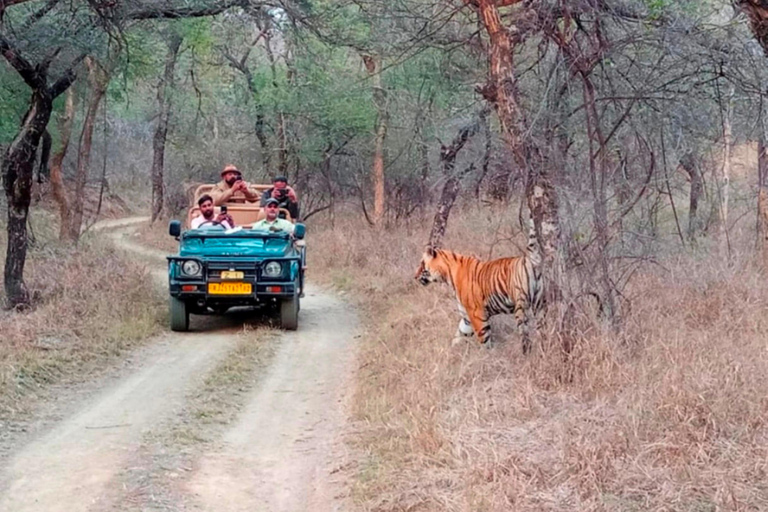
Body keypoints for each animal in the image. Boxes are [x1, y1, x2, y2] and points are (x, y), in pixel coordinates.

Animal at [414, 216, 544, 352]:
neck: (448, 274)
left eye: (422, 263)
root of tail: (528, 258)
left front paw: (487, 354)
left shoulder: (476, 313)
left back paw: (526, 352)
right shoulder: (466, 317)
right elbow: (459, 333)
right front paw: (451, 350)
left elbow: (484, 338)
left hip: (521, 306)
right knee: (542, 329)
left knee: (525, 333)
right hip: (539, 304)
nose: (415, 276)